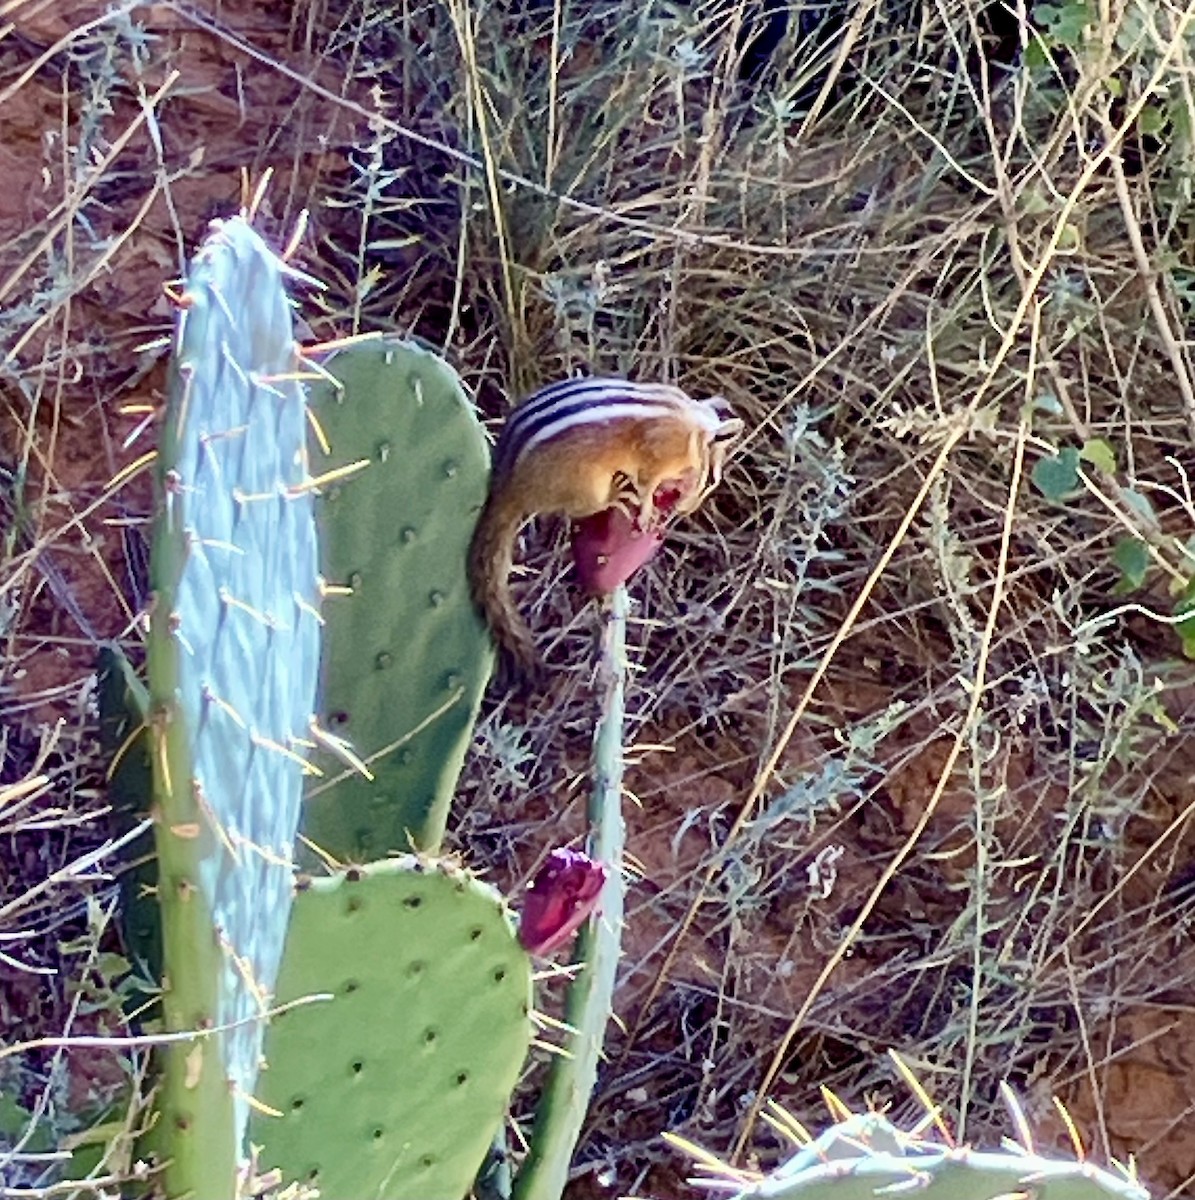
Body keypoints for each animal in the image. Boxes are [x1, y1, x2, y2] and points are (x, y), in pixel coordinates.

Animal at [467, 376, 743, 680]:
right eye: (711, 479)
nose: (687, 510)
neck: (691, 423)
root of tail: (508, 485)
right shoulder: (654, 460)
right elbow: (647, 487)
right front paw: (646, 511)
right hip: (588, 487)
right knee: (580, 508)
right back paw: (618, 495)